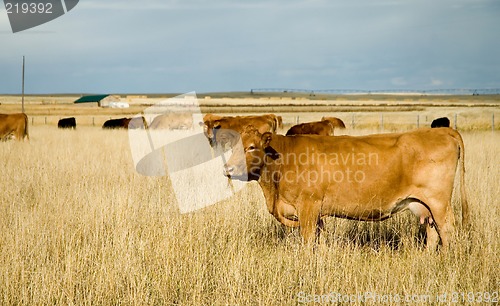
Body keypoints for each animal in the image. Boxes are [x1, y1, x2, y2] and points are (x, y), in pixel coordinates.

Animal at [225, 125, 470, 250]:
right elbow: (318, 240)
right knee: (432, 231)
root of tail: (441, 130)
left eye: (251, 147)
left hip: (439, 202)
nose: (227, 168)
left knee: (446, 229)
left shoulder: (308, 206)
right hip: (424, 204)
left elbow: (307, 241)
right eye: (232, 147)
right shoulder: (317, 214)